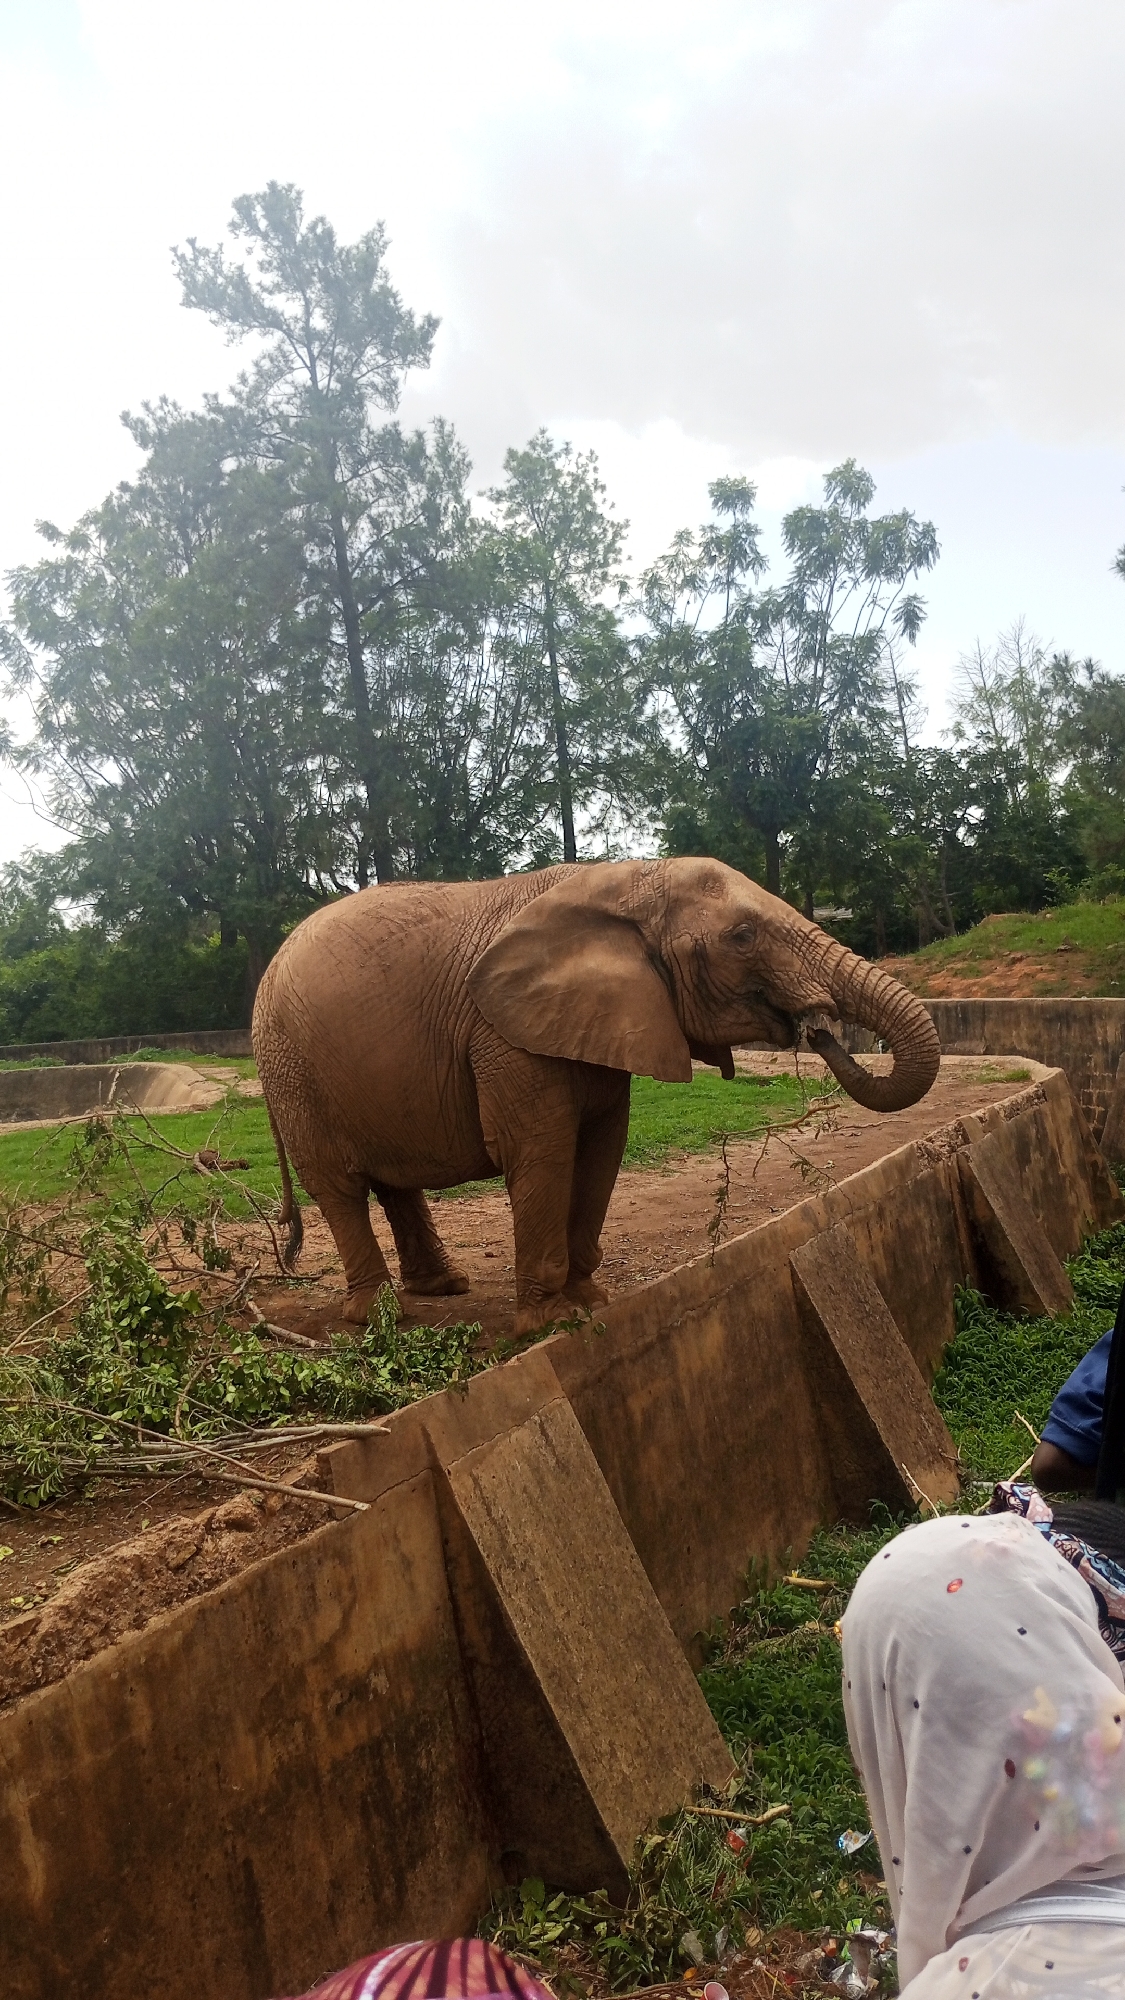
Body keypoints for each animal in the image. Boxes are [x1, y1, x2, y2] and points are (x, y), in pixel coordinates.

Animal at [253, 857, 940, 1335]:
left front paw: (591, 1301)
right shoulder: (505, 1037)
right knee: (340, 1187)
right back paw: (377, 1316)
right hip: (291, 1071)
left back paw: (444, 1287)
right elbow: (543, 1152)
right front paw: (550, 1323)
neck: (626, 878)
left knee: (394, 1182)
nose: (818, 1027)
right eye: (742, 937)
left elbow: (603, 1148)